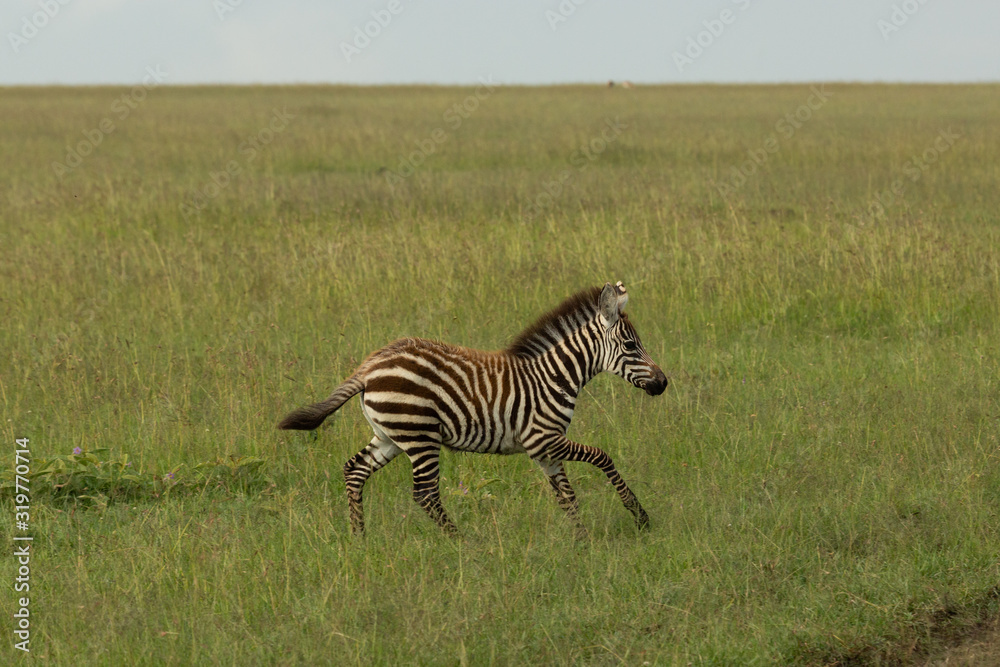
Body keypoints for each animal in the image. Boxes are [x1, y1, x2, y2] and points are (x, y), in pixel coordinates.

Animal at [278, 281, 668, 535]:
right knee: (425, 493)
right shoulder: (543, 438)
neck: (554, 375)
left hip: (390, 435)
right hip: (420, 435)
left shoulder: (545, 449)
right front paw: (639, 516)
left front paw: (582, 540)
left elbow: (566, 496)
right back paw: (461, 542)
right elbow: (603, 458)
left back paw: (359, 537)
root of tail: (369, 366)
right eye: (630, 346)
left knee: (355, 470)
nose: (663, 384)